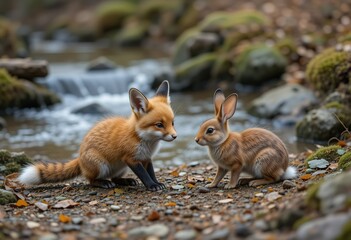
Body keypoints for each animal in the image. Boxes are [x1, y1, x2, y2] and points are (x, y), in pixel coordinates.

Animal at [18, 80, 177, 191]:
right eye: (159, 125)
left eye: (172, 122)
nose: (175, 136)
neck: (144, 140)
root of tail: (80, 157)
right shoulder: (131, 159)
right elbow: (144, 175)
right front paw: (151, 186)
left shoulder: (146, 158)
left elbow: (151, 173)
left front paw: (156, 183)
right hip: (101, 165)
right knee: (90, 181)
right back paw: (102, 183)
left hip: (121, 167)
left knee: (114, 178)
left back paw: (125, 181)